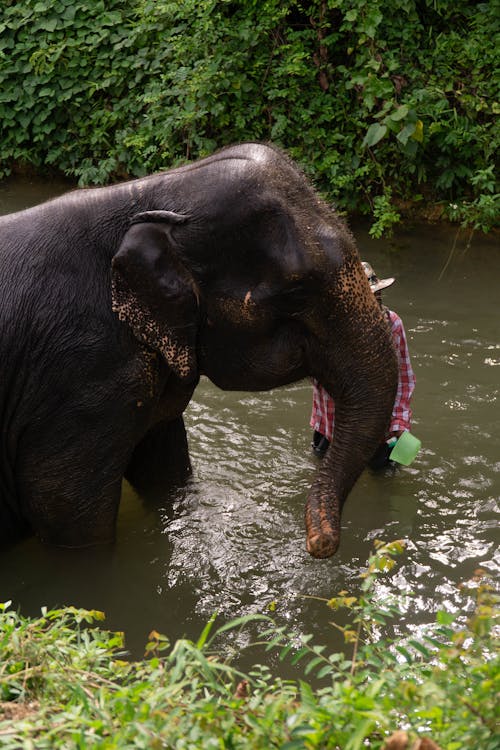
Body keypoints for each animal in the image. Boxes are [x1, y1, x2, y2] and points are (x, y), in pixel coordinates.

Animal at [0, 142, 398, 560]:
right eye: (296, 291)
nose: (317, 544)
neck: (147, 193)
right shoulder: (79, 376)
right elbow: (65, 511)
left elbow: (165, 469)